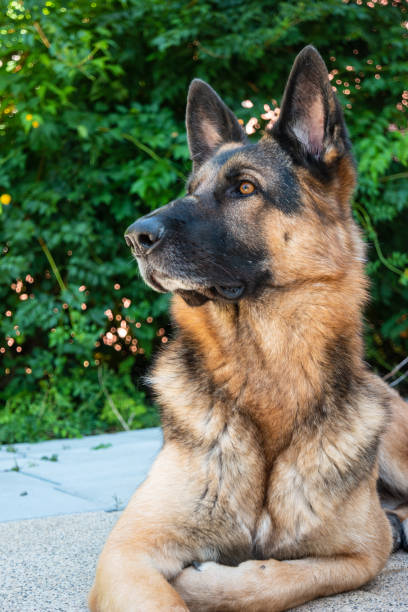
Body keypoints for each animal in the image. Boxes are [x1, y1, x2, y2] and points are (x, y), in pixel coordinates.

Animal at [90, 45, 408, 608]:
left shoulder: (362, 554)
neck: (264, 369)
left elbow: (276, 578)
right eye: (190, 190)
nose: (135, 236)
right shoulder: (128, 551)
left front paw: (207, 582)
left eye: (244, 188)